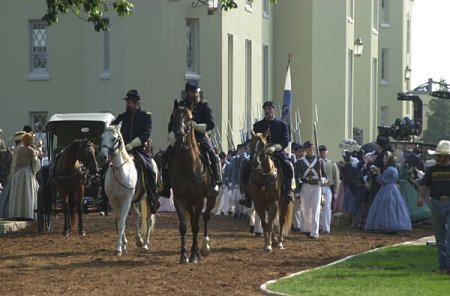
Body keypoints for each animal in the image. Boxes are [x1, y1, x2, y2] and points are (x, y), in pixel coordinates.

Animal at [99, 123, 158, 256]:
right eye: (102, 137)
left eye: (114, 139)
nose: (102, 156)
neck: (119, 172)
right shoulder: (115, 202)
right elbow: (121, 221)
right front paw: (124, 245)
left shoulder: (126, 200)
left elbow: (121, 224)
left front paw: (119, 248)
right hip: (132, 201)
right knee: (136, 215)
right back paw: (139, 240)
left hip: (147, 199)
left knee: (148, 219)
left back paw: (145, 244)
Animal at [170, 100, 217, 264]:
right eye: (174, 117)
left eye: (190, 119)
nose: (179, 136)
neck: (188, 165)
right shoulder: (179, 198)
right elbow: (184, 227)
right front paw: (184, 255)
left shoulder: (198, 199)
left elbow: (196, 226)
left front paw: (193, 256)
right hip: (189, 202)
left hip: (211, 197)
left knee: (206, 216)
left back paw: (204, 247)